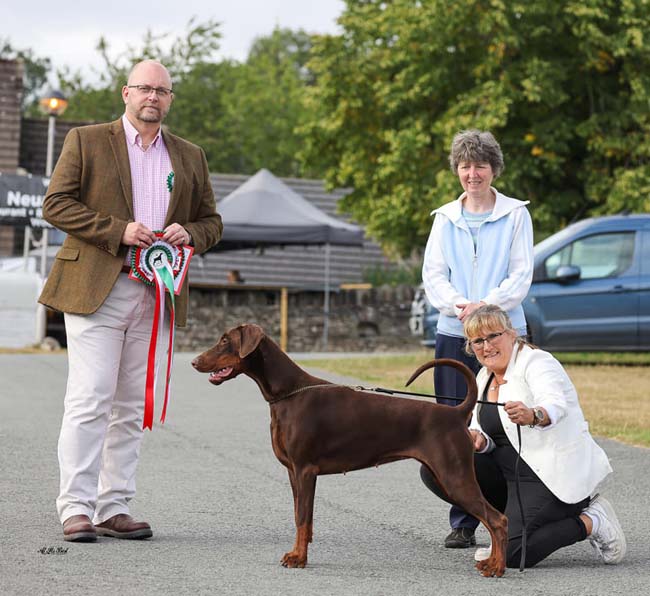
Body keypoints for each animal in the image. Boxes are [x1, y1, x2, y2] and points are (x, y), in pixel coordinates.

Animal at [191, 324, 506, 576]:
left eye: (224, 340)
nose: (194, 361)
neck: (287, 394)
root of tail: (456, 413)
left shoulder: (305, 470)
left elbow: (302, 518)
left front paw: (298, 558)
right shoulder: (294, 473)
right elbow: (301, 517)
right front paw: (300, 552)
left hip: (454, 476)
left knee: (498, 519)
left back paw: (496, 567)